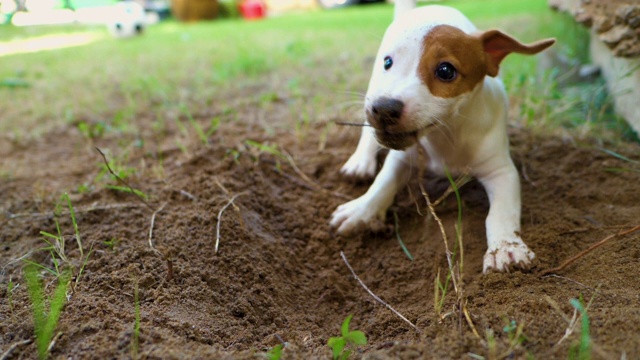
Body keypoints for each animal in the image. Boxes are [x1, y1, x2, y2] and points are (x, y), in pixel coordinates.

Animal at [330, 0, 556, 272]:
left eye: (446, 70)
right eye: (388, 63)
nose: (383, 109)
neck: (445, 136)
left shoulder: (501, 172)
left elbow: (501, 212)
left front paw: (505, 247)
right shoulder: (401, 157)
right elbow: (382, 183)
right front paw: (361, 211)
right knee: (366, 130)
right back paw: (360, 162)